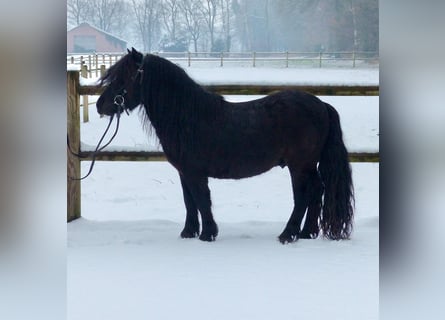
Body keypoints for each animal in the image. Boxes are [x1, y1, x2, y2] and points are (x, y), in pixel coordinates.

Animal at [95, 48, 352, 242]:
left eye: (122, 78)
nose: (100, 105)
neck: (188, 118)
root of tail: (321, 105)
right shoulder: (184, 172)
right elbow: (189, 201)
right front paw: (188, 232)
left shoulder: (195, 173)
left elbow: (201, 200)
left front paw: (208, 234)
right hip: (307, 165)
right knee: (317, 190)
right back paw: (308, 233)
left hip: (299, 166)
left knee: (303, 196)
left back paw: (288, 235)